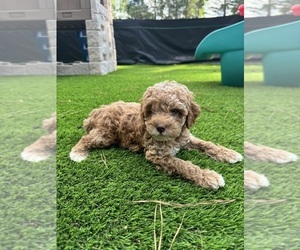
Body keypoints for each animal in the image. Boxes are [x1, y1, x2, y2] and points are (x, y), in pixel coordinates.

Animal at [69, 81, 243, 188]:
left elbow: (205, 144)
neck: (172, 138)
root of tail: (99, 110)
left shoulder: (186, 138)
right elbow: (182, 164)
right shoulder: (156, 154)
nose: (160, 127)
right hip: (105, 135)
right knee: (85, 138)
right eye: (151, 110)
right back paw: (77, 153)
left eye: (175, 111)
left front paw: (228, 153)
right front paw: (208, 176)